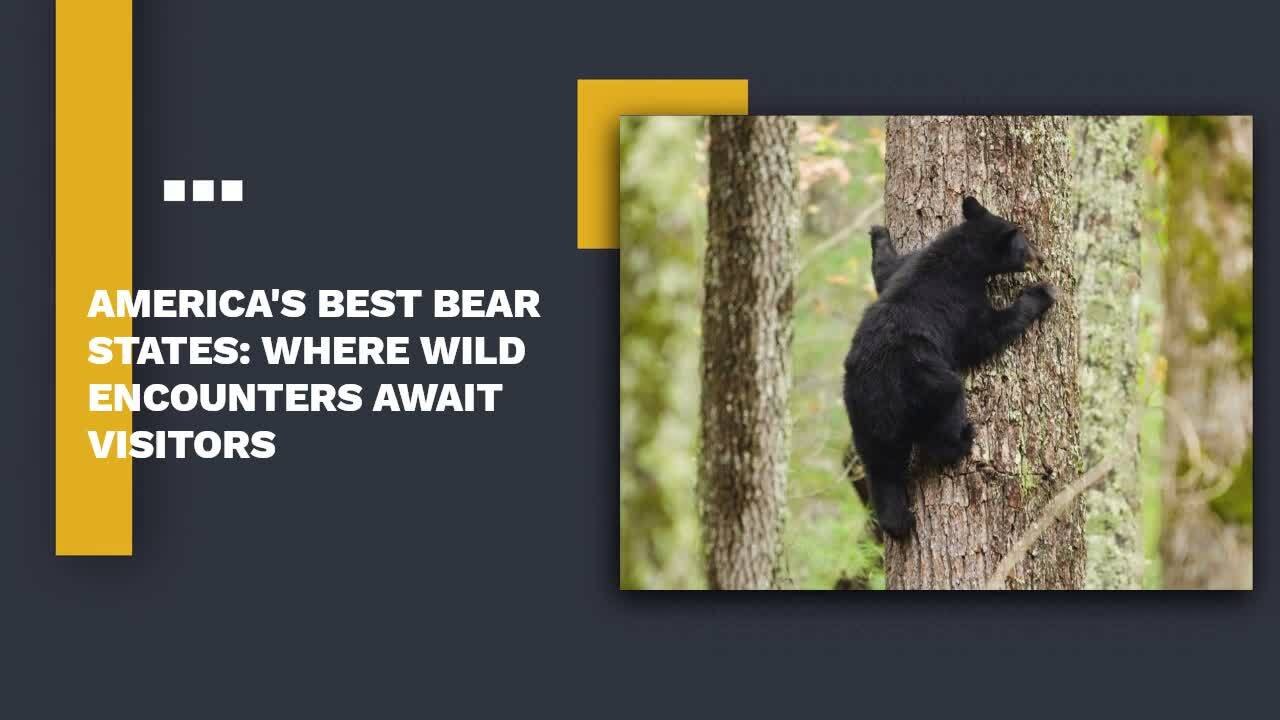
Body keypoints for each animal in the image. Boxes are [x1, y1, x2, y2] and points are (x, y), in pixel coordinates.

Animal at [842, 196, 1056, 539]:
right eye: (1025, 246)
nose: (1041, 258)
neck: (958, 251)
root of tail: (879, 399)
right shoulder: (959, 303)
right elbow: (984, 334)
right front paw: (1040, 294)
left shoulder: (908, 266)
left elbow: (885, 272)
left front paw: (879, 235)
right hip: (925, 384)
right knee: (944, 415)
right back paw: (963, 440)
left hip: (861, 421)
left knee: (881, 470)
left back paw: (897, 522)